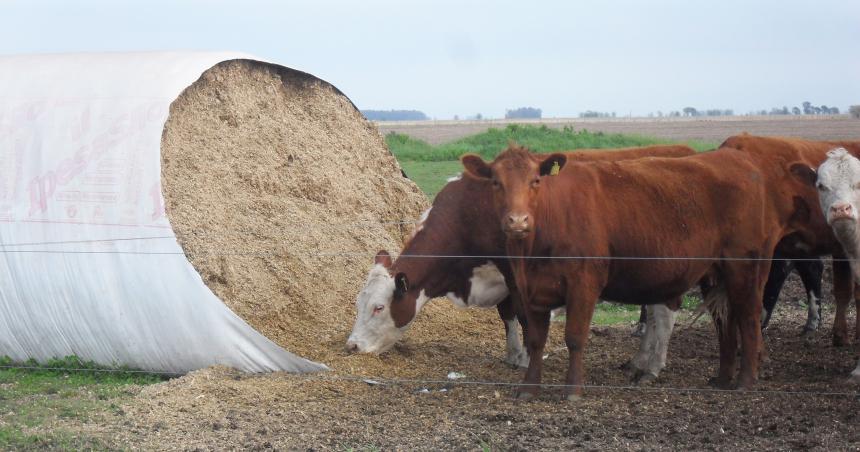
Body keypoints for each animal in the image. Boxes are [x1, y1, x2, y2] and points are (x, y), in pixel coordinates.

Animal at [342, 145, 692, 368]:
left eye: (378, 307)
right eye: (358, 303)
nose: (351, 345)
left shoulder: (516, 272)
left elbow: (523, 315)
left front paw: (525, 358)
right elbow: (507, 314)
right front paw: (513, 354)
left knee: (664, 309)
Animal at [460, 144, 824, 400]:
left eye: (535, 180)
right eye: (495, 182)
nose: (517, 221)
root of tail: (738, 160)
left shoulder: (583, 284)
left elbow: (575, 338)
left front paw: (572, 391)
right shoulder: (532, 290)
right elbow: (536, 340)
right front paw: (528, 388)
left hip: (746, 268)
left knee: (748, 319)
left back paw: (744, 382)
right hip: (715, 274)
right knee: (726, 324)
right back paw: (722, 379)